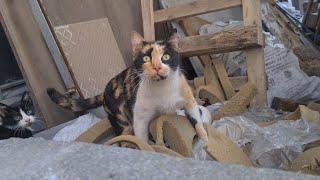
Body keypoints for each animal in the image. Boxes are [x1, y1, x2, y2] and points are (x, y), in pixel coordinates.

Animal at [47, 32, 208, 142]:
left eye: (166, 57)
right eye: (146, 58)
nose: (156, 67)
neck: (163, 88)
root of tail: (104, 91)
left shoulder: (189, 101)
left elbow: (197, 122)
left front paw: (205, 141)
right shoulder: (140, 118)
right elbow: (142, 141)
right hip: (122, 122)